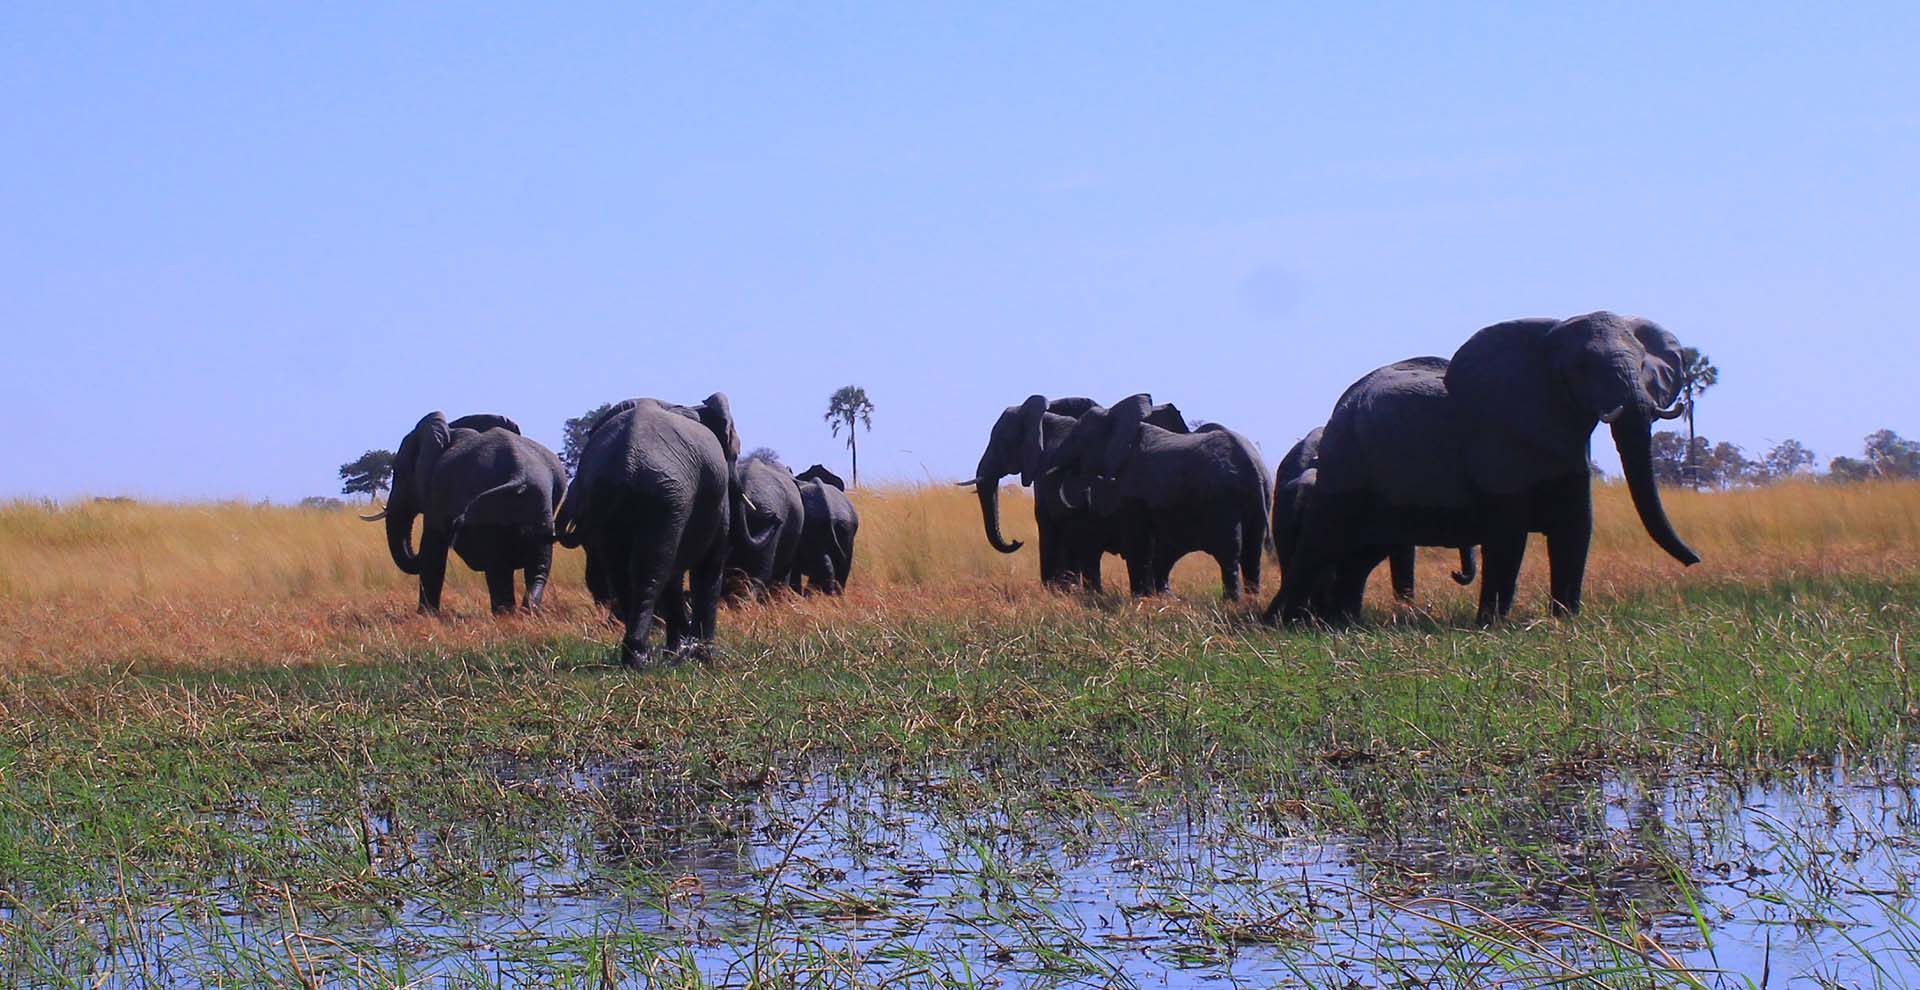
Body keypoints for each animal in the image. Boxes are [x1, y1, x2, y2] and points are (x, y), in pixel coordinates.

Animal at [361, 412, 566, 614]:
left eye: (398, 472)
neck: (448, 430)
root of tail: (519, 474)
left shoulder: (435, 493)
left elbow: (432, 550)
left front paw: (425, 615)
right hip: (539, 509)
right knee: (537, 567)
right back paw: (525, 612)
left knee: (498, 567)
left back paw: (505, 614)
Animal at [555, 393, 748, 667]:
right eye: (737, 454)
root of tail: (627, 460)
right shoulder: (716, 499)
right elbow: (708, 566)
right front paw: (702, 655)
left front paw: (679, 650)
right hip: (667, 493)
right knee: (652, 567)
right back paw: (642, 657)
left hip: (607, 493)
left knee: (624, 568)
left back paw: (635, 655)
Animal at [1044, 395, 1270, 601]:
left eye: (1078, 438)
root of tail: (1253, 467)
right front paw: (1155, 599)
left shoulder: (1133, 492)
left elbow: (1138, 543)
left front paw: (1140, 600)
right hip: (1258, 501)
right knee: (1252, 554)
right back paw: (1249, 601)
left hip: (1223, 502)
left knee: (1229, 554)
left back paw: (1231, 603)